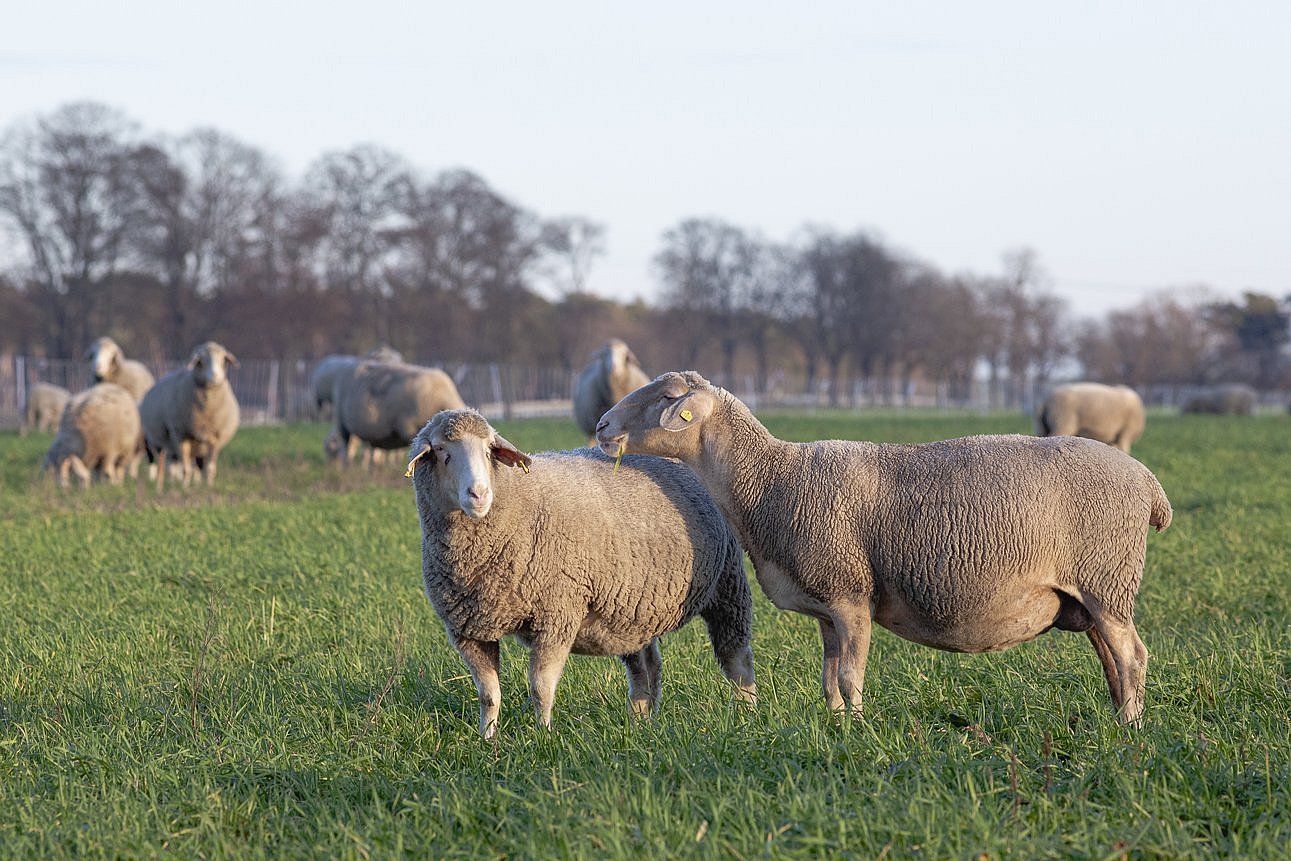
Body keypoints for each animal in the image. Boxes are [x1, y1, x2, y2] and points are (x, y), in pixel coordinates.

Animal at [140, 343, 241, 490]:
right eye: (201, 361)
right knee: (162, 466)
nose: (215, 376)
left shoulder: (215, 437)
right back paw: (160, 487)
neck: (206, 410)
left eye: (223, 359)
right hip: (158, 442)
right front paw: (185, 488)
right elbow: (185, 469)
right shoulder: (181, 435)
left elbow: (210, 468)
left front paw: (208, 487)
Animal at [407, 407, 753, 738]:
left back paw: (746, 713)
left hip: (728, 582)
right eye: (440, 449)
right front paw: (487, 739)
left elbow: (540, 688)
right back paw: (642, 723)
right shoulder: (469, 631)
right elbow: (489, 695)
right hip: (631, 608)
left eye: (490, 448)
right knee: (646, 666)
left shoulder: (556, 614)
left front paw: (542, 737)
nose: (479, 494)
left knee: (736, 657)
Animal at [599, 371, 1177, 728]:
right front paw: (834, 726)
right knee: (1113, 658)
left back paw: (1130, 728)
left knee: (1133, 655)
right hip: (1091, 594)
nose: (602, 426)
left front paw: (857, 731)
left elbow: (850, 676)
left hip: (1107, 579)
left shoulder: (852, 594)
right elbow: (829, 678)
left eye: (664, 399)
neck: (770, 481)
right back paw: (1118, 715)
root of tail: (1149, 484)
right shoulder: (827, 608)